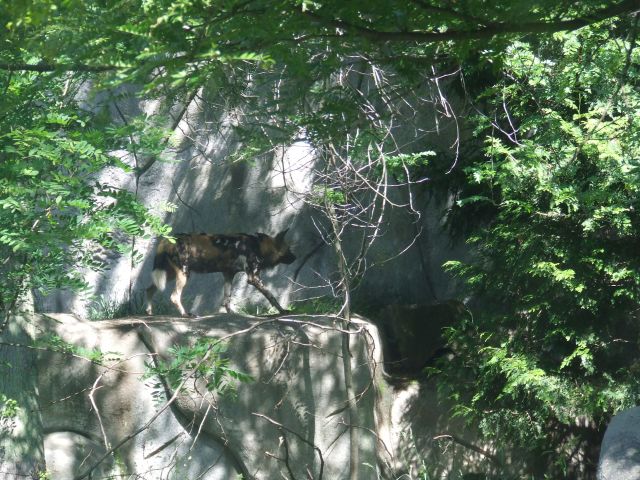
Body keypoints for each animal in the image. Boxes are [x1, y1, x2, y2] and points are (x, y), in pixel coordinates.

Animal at [145, 229, 296, 316]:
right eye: (289, 249)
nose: (295, 257)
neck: (258, 246)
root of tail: (168, 239)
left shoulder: (228, 275)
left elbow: (227, 298)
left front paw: (231, 313)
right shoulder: (253, 278)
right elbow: (271, 296)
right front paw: (283, 311)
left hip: (168, 274)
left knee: (149, 289)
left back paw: (149, 312)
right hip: (184, 274)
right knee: (174, 296)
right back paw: (185, 314)